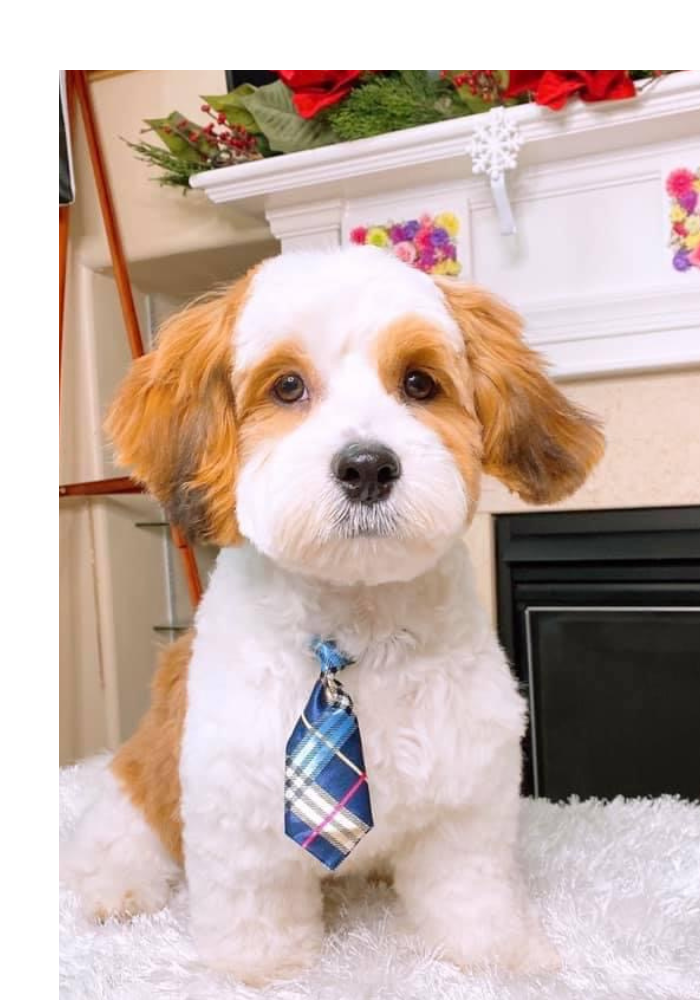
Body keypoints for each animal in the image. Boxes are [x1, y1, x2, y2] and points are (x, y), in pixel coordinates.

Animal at [62, 246, 603, 985]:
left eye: (419, 383)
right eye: (287, 386)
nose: (368, 466)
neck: (355, 630)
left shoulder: (464, 795)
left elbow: (472, 891)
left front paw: (496, 957)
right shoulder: (238, 801)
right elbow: (254, 904)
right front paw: (258, 968)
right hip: (139, 783)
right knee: (115, 840)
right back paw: (113, 891)